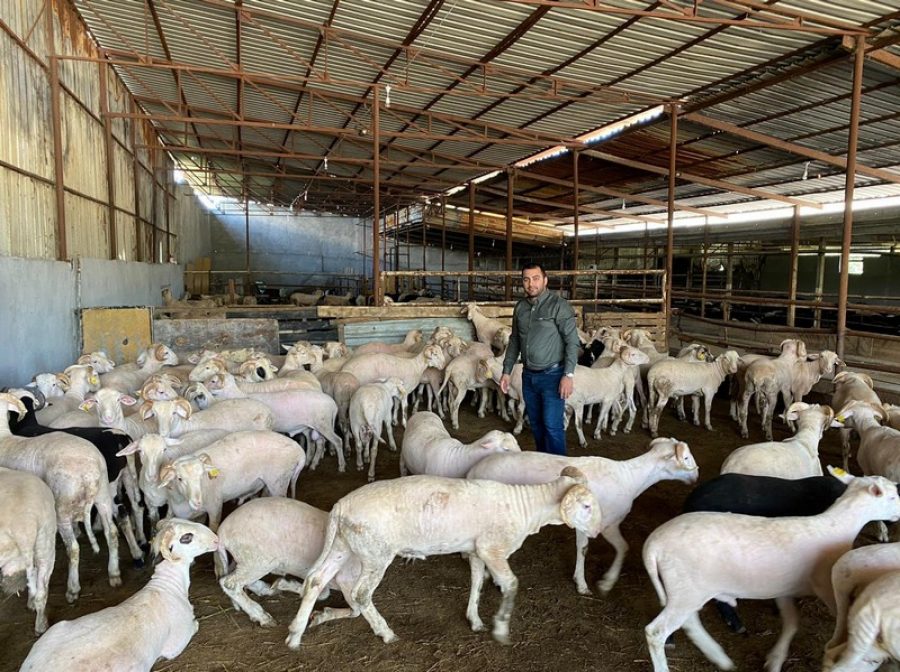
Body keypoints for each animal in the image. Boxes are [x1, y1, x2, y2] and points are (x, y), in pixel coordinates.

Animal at [284, 468, 600, 644]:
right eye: (585, 505)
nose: (597, 531)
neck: (526, 507)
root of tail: (340, 507)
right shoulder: (493, 549)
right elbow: (510, 585)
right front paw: (500, 629)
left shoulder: (476, 550)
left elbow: (477, 583)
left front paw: (475, 620)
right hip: (375, 553)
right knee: (361, 594)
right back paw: (385, 632)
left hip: (342, 546)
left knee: (315, 581)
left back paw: (295, 634)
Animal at [468, 438, 700, 596]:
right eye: (686, 457)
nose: (697, 475)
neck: (631, 478)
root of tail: (474, 469)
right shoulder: (606, 524)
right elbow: (620, 548)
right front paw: (602, 583)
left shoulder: (586, 522)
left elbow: (585, 548)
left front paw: (583, 580)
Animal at [640, 470, 900, 672]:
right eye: (893, 496)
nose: (898, 515)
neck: (837, 525)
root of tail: (653, 545)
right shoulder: (827, 587)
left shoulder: (783, 589)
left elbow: (792, 622)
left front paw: (775, 659)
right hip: (688, 590)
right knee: (656, 631)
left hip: (688, 591)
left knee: (690, 622)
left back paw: (719, 657)